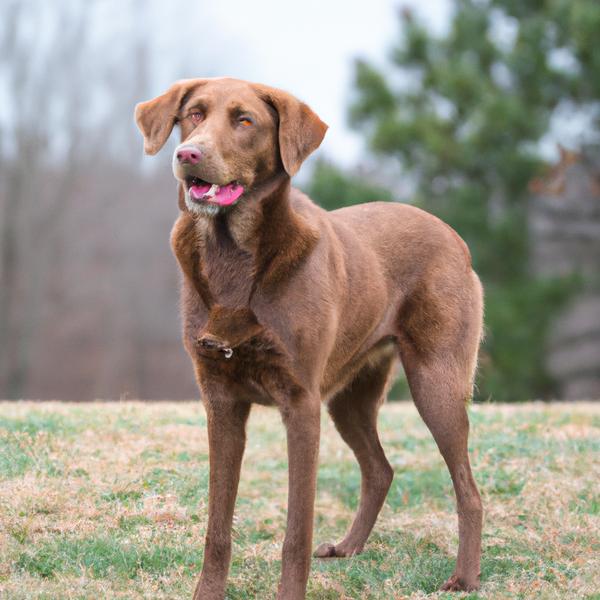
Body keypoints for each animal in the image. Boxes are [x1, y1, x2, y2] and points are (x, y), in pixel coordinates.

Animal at [136, 77, 482, 596]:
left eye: (244, 121)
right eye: (193, 114)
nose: (188, 154)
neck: (232, 256)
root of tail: (455, 238)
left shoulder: (301, 404)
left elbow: (295, 532)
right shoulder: (220, 401)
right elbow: (217, 526)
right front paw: (208, 593)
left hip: (435, 382)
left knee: (468, 488)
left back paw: (464, 577)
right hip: (349, 397)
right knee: (380, 469)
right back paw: (349, 548)